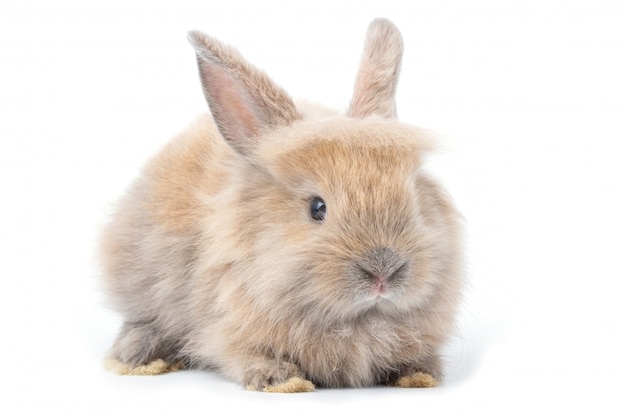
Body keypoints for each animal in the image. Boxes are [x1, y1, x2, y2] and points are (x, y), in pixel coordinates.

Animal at [100, 17, 464, 392]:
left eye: (414, 199)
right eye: (317, 208)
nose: (384, 272)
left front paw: (420, 374)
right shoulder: (227, 329)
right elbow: (244, 354)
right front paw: (282, 380)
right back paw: (136, 356)